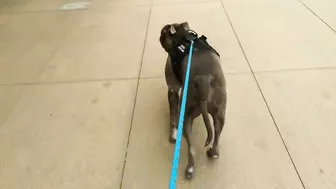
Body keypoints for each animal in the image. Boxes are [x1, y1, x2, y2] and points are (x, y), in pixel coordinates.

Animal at [160, 21, 228, 179]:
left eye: (162, 33)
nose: (159, 37)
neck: (183, 38)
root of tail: (204, 80)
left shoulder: (172, 90)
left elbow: (172, 117)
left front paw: (172, 135)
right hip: (220, 115)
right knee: (216, 141)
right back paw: (212, 153)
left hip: (186, 116)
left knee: (191, 149)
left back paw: (190, 169)